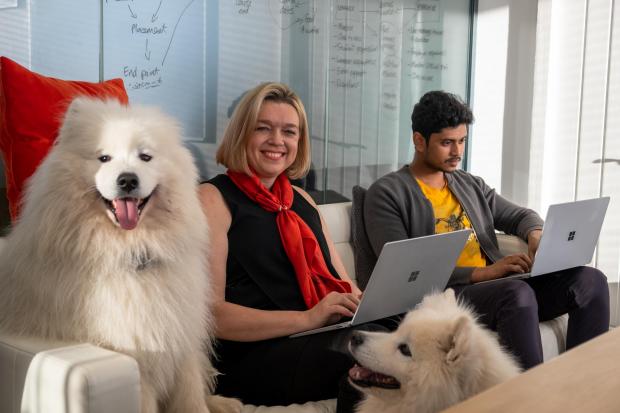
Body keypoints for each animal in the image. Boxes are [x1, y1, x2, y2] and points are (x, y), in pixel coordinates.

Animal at [0, 97, 240, 412]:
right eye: (104, 158)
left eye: (145, 157)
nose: (127, 180)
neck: (133, 250)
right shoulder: (138, 360)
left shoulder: (181, 341)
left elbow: (192, 398)